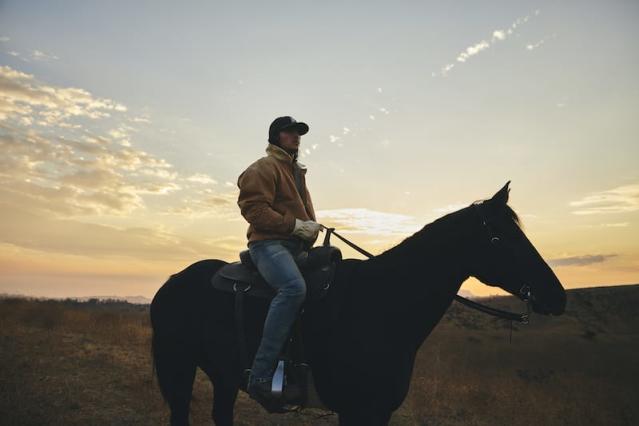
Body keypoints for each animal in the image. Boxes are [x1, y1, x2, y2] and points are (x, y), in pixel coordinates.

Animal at [151, 181, 568, 424]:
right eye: (501, 238)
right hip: (178, 368)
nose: (557, 295)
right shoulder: (356, 409)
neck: (381, 304)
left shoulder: (378, 411)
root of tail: (172, 282)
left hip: (222, 374)